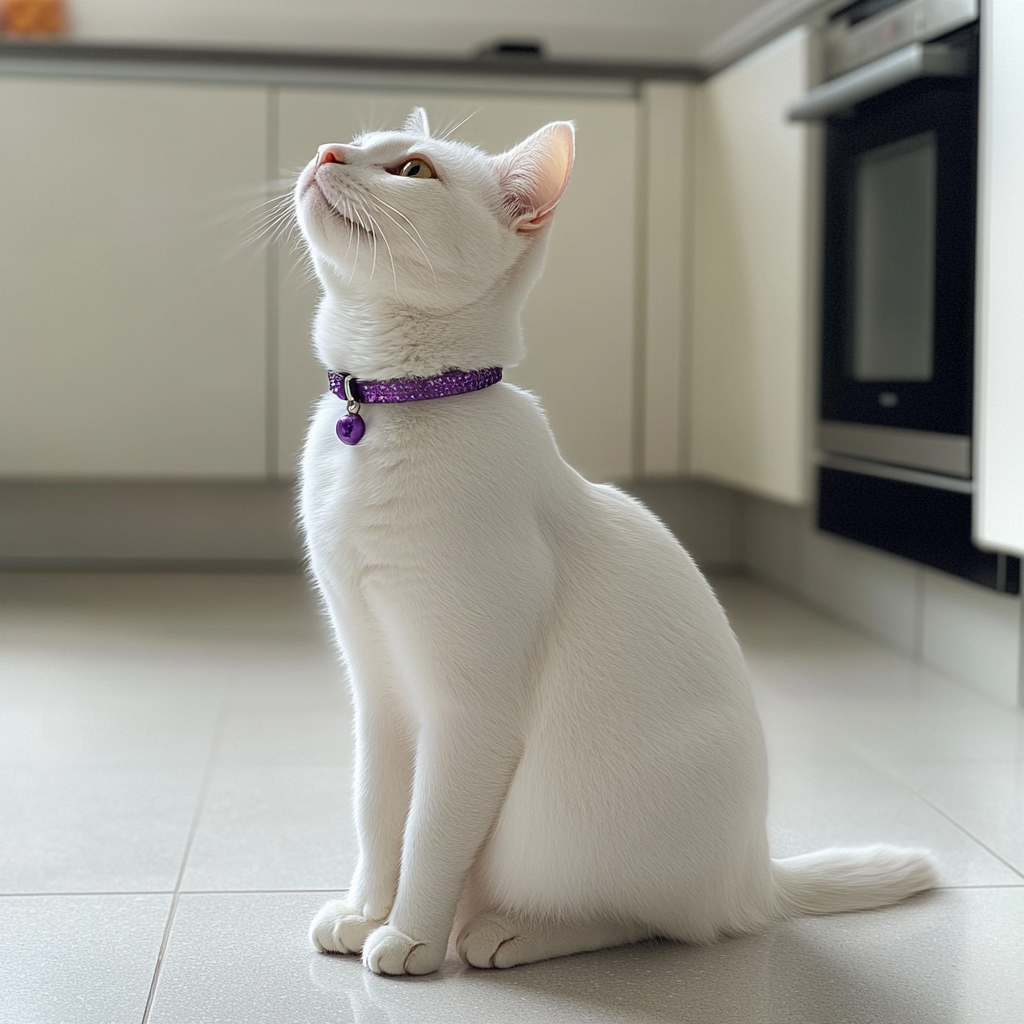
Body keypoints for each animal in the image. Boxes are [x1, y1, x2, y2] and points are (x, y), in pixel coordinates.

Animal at [290, 108, 937, 978]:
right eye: (358, 142)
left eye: (414, 170)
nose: (326, 152)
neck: (389, 410)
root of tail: (756, 874)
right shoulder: (379, 687)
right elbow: (377, 813)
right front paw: (366, 912)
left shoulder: (468, 709)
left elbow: (429, 832)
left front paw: (411, 936)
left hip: (582, 826)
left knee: (657, 920)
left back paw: (507, 930)